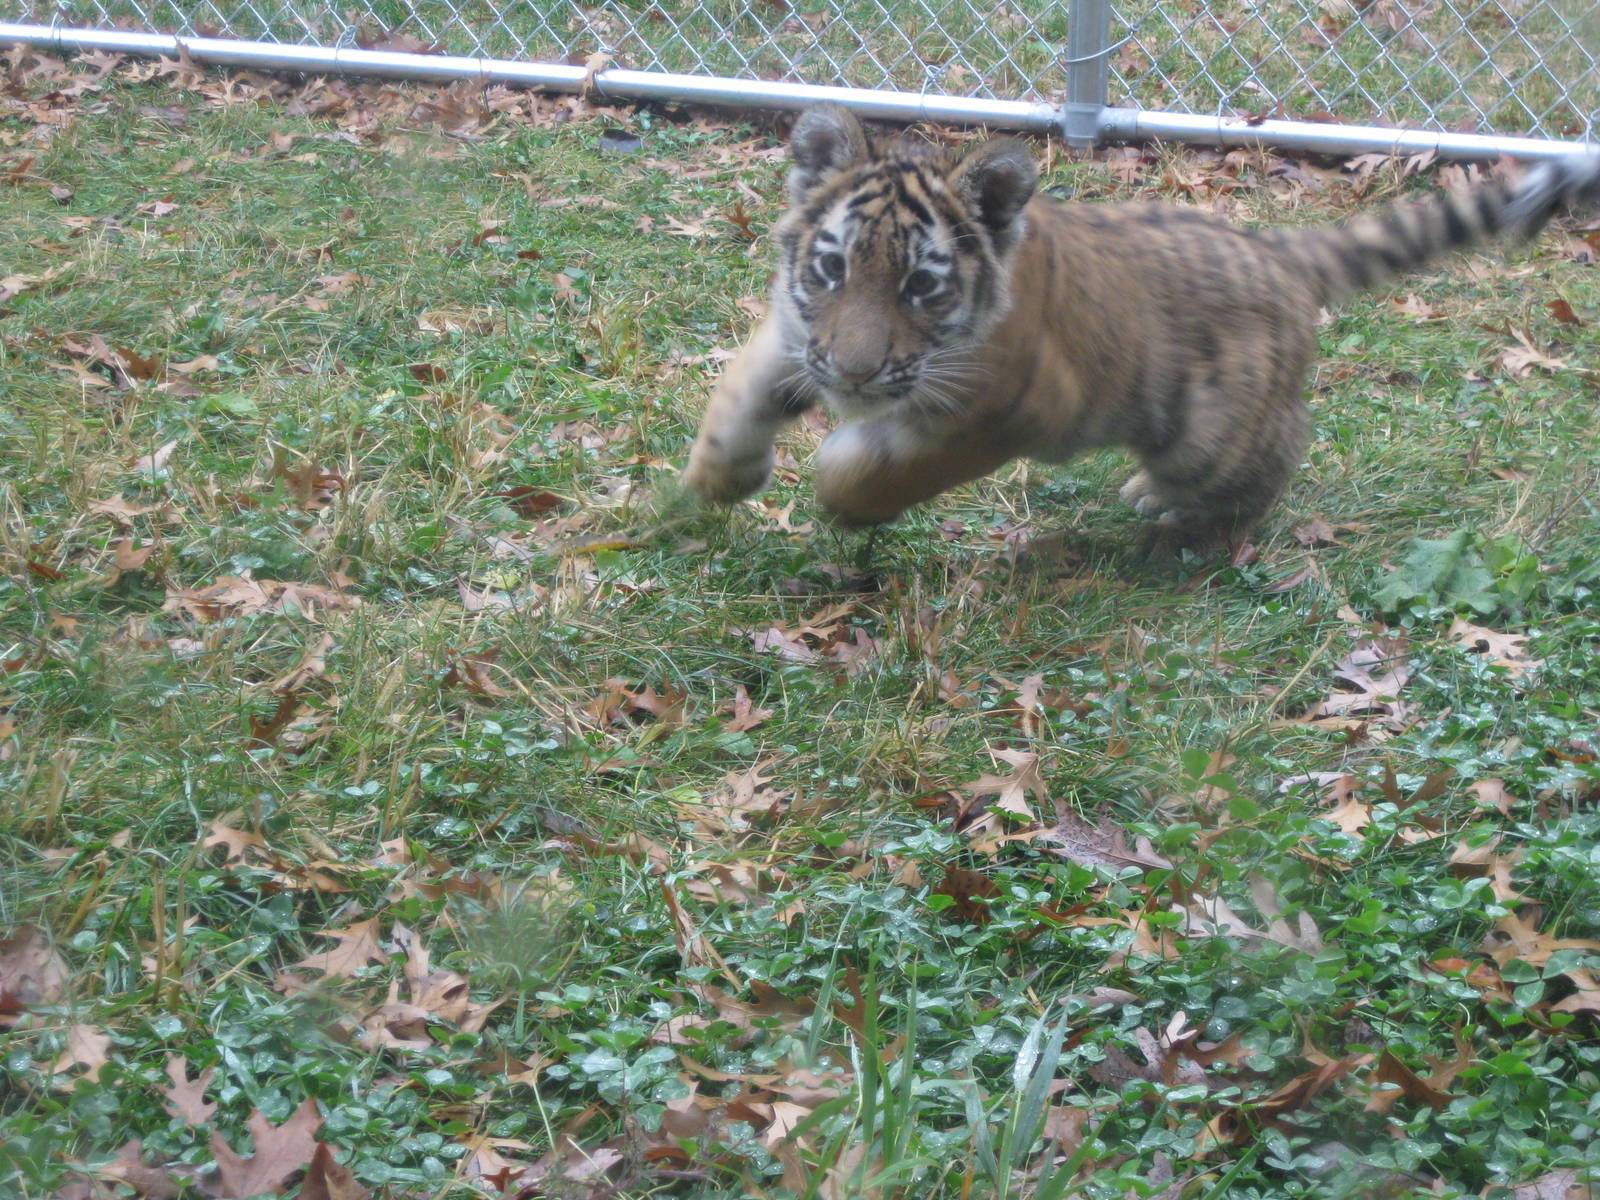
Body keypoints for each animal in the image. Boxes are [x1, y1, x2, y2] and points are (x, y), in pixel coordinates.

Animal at [681, 104, 1599, 554]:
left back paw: (1188, 521)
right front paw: (719, 480)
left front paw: (843, 494)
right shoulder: (796, 332)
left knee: (1275, 458)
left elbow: (881, 470)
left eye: (922, 287)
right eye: (833, 268)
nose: (855, 377)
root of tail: (1277, 249)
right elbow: (737, 396)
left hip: (1211, 433)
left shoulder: (1008, 413)